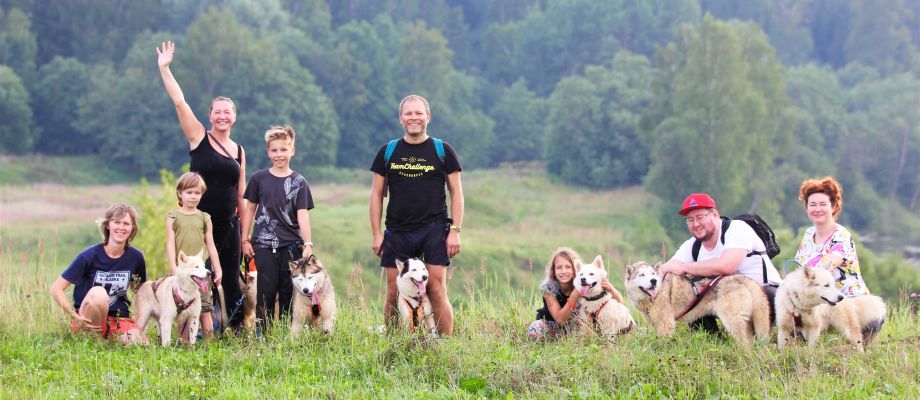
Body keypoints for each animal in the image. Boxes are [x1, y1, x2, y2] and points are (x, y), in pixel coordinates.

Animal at [624, 260, 768, 346]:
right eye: (641, 275)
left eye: (653, 274)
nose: (653, 281)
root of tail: (739, 278)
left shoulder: (666, 323)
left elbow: (663, 341)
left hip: (732, 320)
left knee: (745, 341)